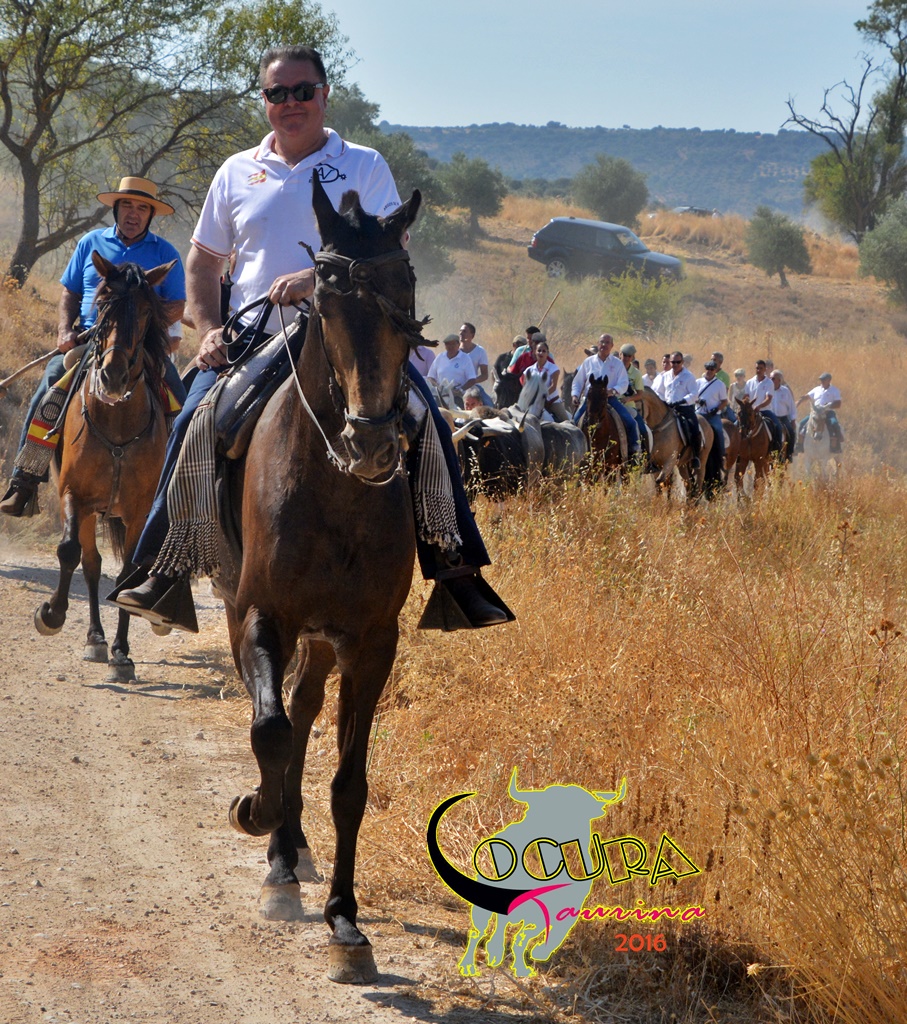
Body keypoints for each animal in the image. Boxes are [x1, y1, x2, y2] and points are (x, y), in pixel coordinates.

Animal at [35, 254, 175, 682]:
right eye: (102, 305)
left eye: (145, 312)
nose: (113, 376)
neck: (116, 424)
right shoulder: (74, 495)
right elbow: (69, 552)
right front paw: (52, 614)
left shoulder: (139, 509)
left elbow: (129, 570)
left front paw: (123, 654)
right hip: (89, 511)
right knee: (92, 564)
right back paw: (94, 638)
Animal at [213, 179, 422, 985]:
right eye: (326, 306)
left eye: (406, 298)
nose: (372, 442)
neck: (337, 489)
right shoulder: (258, 616)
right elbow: (266, 730)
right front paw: (258, 814)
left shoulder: (370, 642)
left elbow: (349, 783)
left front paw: (345, 921)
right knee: (283, 715)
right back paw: (279, 850)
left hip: (329, 637)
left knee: (303, 705)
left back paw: (295, 852)